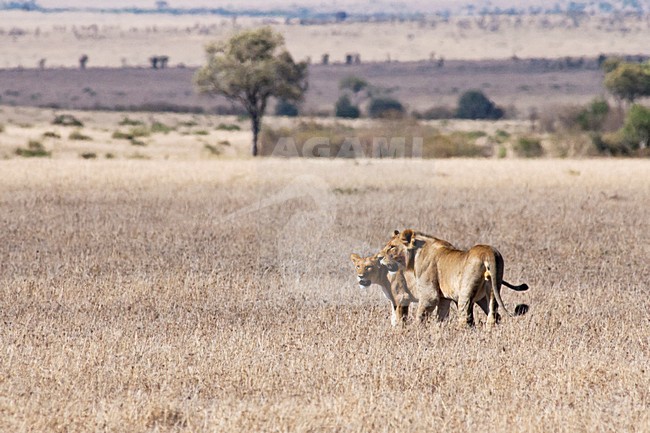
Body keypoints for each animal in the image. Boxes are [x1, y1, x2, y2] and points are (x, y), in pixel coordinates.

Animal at [379, 229, 529, 327]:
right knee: (493, 314)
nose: (379, 257)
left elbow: (420, 316)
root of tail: (488, 252)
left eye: (392, 247)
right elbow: (441, 317)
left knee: (466, 318)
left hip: (465, 293)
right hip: (492, 289)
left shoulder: (430, 295)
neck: (415, 255)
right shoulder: (444, 298)